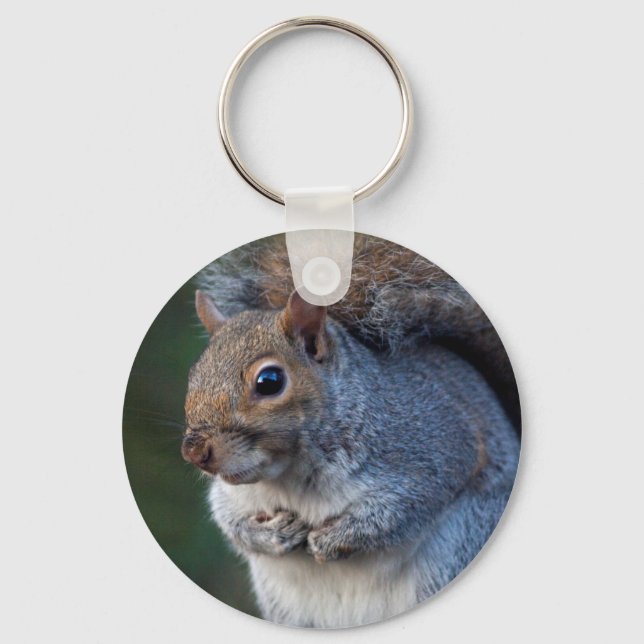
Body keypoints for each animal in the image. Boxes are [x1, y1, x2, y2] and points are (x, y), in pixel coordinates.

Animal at [181, 233, 520, 628]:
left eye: (269, 381)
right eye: (195, 373)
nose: (195, 451)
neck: (291, 476)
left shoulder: (436, 445)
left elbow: (405, 508)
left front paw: (330, 539)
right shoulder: (234, 495)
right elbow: (228, 519)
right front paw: (272, 534)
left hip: (459, 547)